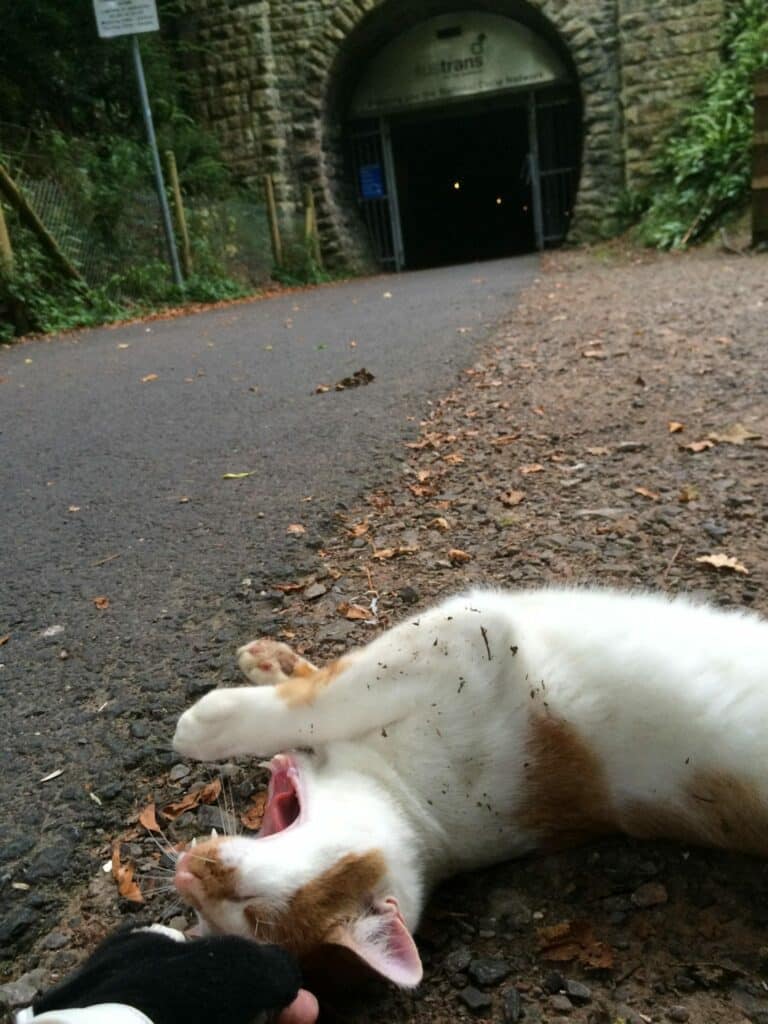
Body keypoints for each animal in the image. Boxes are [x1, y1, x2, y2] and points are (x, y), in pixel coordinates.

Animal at [173, 589, 768, 987]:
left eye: (251, 914)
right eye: (204, 923)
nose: (189, 875)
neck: (415, 806)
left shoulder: (466, 642)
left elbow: (325, 697)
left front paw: (211, 721)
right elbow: (325, 683)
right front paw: (273, 665)